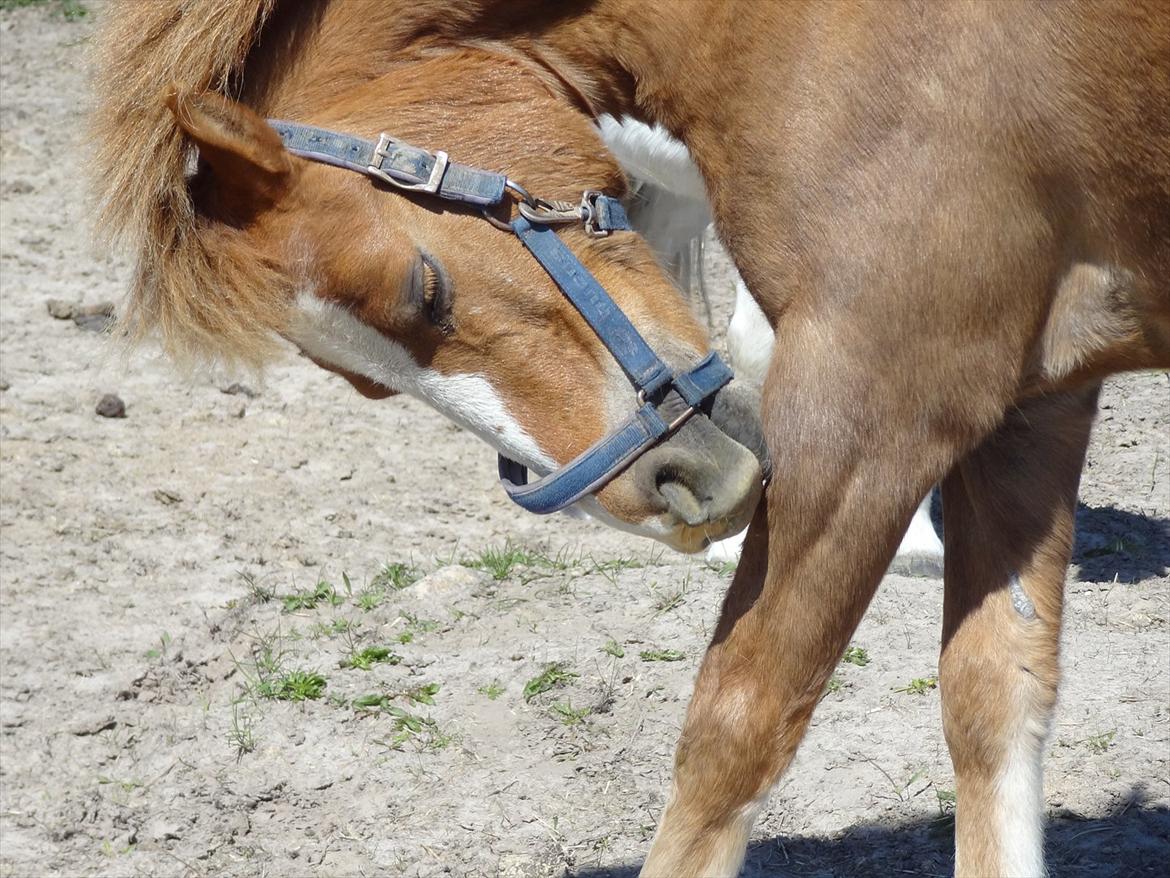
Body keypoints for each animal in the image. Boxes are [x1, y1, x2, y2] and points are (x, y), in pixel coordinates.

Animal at [92, 2, 1170, 876]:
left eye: (423, 288)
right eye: (363, 380)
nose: (671, 489)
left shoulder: (882, 401)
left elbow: (731, 736)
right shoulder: (1032, 399)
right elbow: (996, 702)